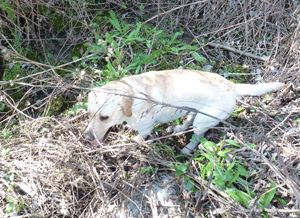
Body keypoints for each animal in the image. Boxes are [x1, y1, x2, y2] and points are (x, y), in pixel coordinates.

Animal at [84, 69, 284, 153]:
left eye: (104, 117)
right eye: (89, 114)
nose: (86, 137)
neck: (132, 94)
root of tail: (233, 87)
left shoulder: (145, 128)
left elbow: (141, 137)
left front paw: (133, 142)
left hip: (203, 121)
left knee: (196, 137)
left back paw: (187, 149)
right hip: (195, 112)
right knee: (189, 119)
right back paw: (178, 128)